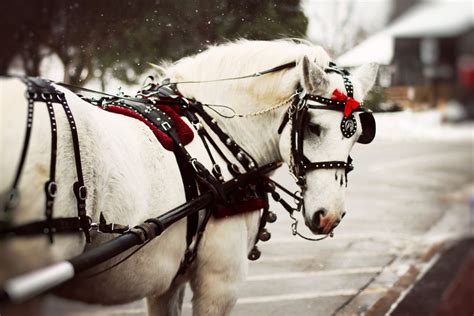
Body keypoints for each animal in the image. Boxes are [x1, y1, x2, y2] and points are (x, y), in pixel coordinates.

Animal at [0, 40, 378, 316]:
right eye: (312, 127)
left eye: (359, 134)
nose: (328, 216)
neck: (216, 129)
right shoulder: (220, 282)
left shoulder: (169, 281)